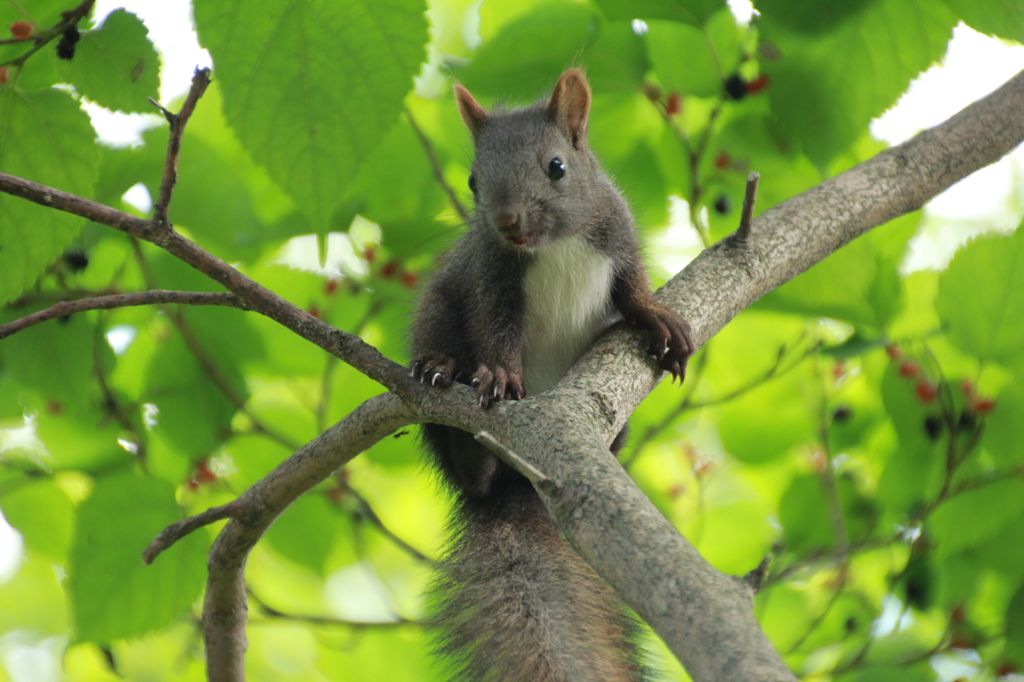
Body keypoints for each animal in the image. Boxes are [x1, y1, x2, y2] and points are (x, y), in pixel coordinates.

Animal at [411, 70, 692, 679]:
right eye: (472, 180)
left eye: (557, 167)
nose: (505, 221)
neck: (555, 243)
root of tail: (521, 481)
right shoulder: (489, 278)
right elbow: (494, 328)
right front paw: (497, 375)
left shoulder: (619, 236)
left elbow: (633, 288)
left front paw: (655, 316)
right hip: (436, 311)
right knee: (470, 473)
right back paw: (448, 392)